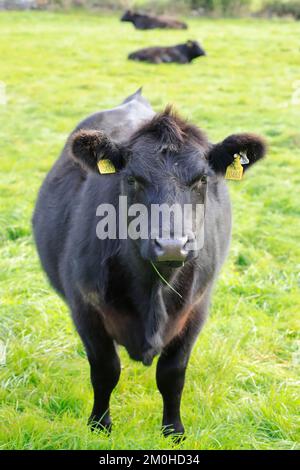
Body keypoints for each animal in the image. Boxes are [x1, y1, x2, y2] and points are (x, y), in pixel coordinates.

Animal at [33, 91, 268, 440]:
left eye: (202, 178)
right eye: (132, 178)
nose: (171, 245)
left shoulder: (196, 310)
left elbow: (172, 375)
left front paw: (173, 431)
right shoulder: (84, 306)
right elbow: (105, 370)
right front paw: (100, 425)